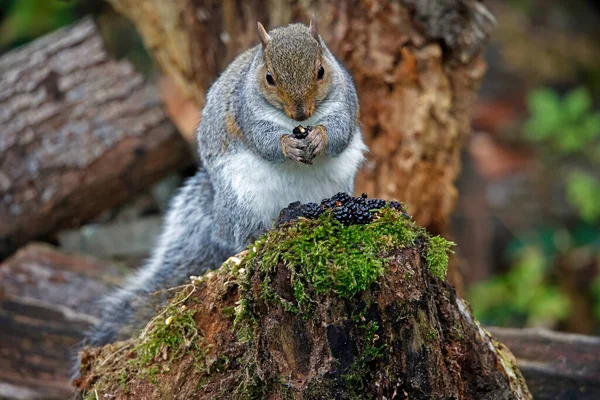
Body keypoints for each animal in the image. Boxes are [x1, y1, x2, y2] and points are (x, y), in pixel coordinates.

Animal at [83, 14, 366, 348]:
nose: (300, 112)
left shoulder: (345, 102)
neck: (299, 125)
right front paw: (286, 144)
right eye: (269, 77)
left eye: (321, 71)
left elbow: (340, 131)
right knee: (241, 236)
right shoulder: (245, 112)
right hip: (243, 200)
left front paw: (321, 137)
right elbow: (263, 140)